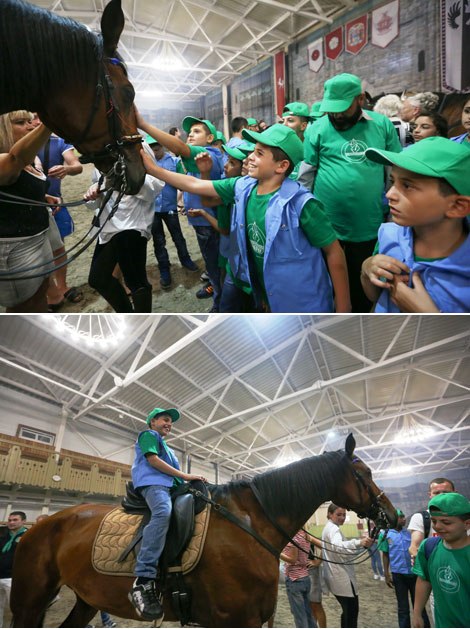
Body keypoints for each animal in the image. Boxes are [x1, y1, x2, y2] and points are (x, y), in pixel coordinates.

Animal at [11, 434, 396, 624]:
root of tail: (39, 527)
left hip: (87, 599)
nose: (395, 515)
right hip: (29, 601)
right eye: (365, 473)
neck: (250, 525)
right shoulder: (233, 620)